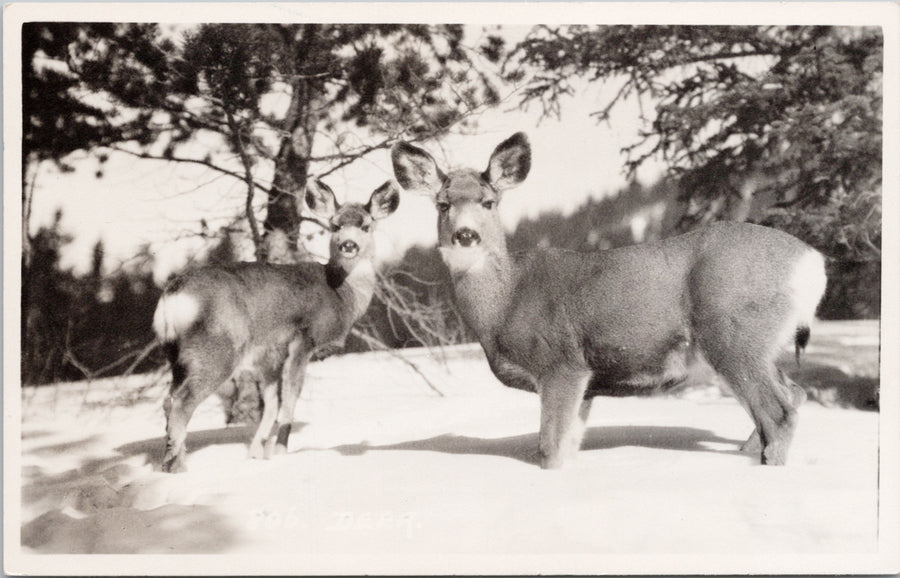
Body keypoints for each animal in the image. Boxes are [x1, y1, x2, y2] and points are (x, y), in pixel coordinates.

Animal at [153, 180, 400, 472]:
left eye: (366, 226)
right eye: (334, 225)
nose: (348, 245)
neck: (342, 295)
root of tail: (173, 296)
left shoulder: (267, 358)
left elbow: (271, 404)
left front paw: (256, 455)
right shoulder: (303, 338)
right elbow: (290, 398)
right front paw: (281, 452)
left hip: (177, 356)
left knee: (168, 400)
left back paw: (172, 463)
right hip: (215, 349)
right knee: (182, 402)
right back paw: (178, 468)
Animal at [390, 133, 828, 466]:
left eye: (488, 202)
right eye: (443, 204)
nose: (465, 235)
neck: (506, 303)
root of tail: (813, 264)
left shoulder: (561, 363)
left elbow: (549, 451)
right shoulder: (587, 383)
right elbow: (567, 446)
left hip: (734, 334)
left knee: (780, 412)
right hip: (760, 343)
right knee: (795, 394)